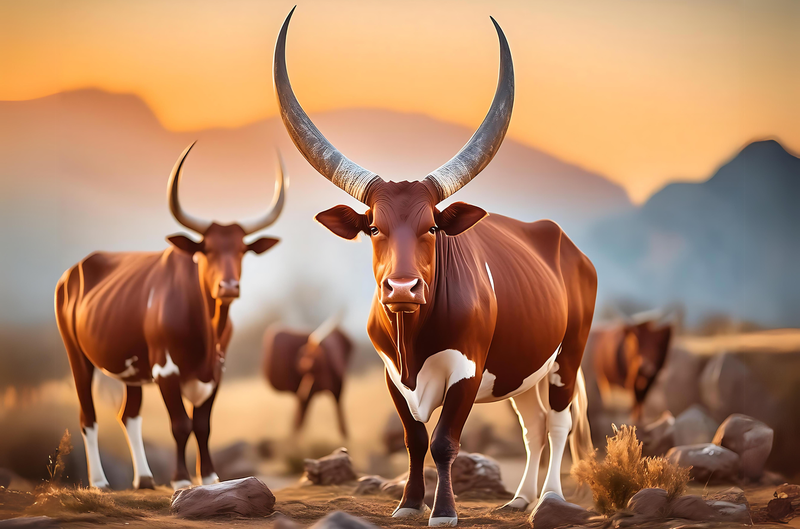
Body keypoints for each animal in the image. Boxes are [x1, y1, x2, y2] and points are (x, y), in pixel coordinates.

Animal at [54, 143, 285, 490]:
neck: (208, 329)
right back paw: (100, 482)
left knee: (128, 414)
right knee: (88, 417)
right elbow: (180, 423)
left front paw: (211, 477)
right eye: (207, 250)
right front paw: (181, 480)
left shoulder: (217, 372)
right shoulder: (166, 370)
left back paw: (145, 478)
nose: (229, 286)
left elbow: (203, 425)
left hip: (131, 371)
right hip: (76, 356)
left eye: (242, 250)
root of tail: (72, 272)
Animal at [273, 8, 597, 525]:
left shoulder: (466, 371)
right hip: (524, 366)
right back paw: (521, 497)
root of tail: (567, 245)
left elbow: (445, 441)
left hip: (569, 355)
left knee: (559, 423)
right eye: (373, 228)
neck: (413, 340)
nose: (403, 288)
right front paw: (408, 503)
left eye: (430, 227)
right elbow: (414, 439)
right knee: (533, 425)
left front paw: (443, 510)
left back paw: (549, 498)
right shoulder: (392, 376)